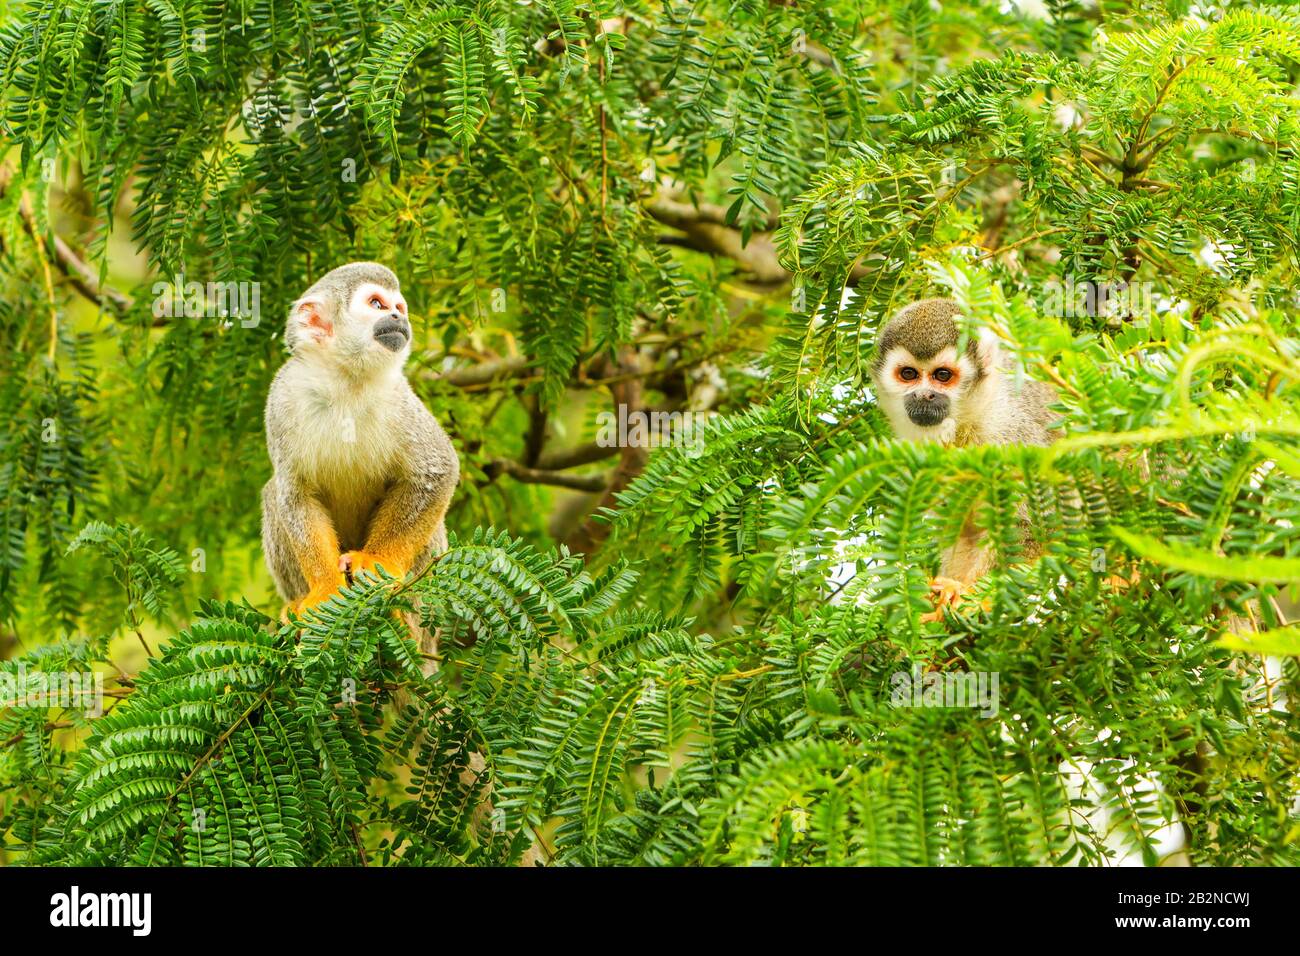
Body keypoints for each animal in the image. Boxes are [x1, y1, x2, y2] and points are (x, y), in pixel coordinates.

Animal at [261, 265, 460, 632]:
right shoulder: (281, 398)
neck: (345, 381)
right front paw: (325, 588)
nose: (398, 317)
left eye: (399, 306)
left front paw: (378, 563)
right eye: (377, 304)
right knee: (272, 494)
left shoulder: (399, 397)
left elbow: (438, 469)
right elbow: (294, 495)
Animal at [863, 299, 1055, 621]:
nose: (923, 396)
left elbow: (1036, 526)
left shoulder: (1010, 434)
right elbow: (963, 530)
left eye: (942, 376)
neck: (966, 423)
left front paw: (972, 597)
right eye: (908, 374)